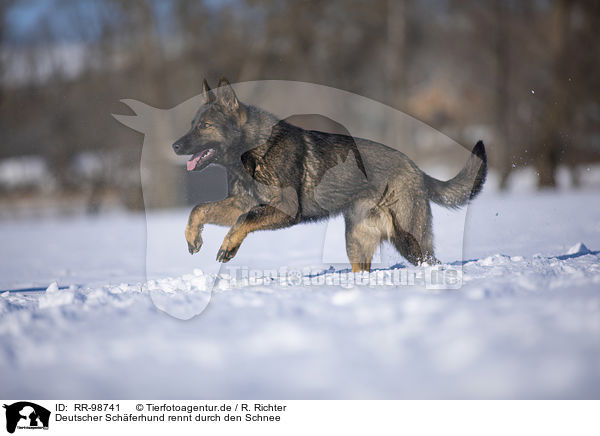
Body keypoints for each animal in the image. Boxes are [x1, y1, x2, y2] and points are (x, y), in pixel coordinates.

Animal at [170, 76, 488, 270]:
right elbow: (200, 209)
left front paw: (228, 246)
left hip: (410, 240)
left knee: (431, 262)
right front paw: (192, 237)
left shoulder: (284, 209)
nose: (174, 146)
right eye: (192, 124)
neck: (251, 150)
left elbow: (243, 219)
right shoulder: (240, 202)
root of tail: (416, 168)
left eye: (204, 127)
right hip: (356, 244)